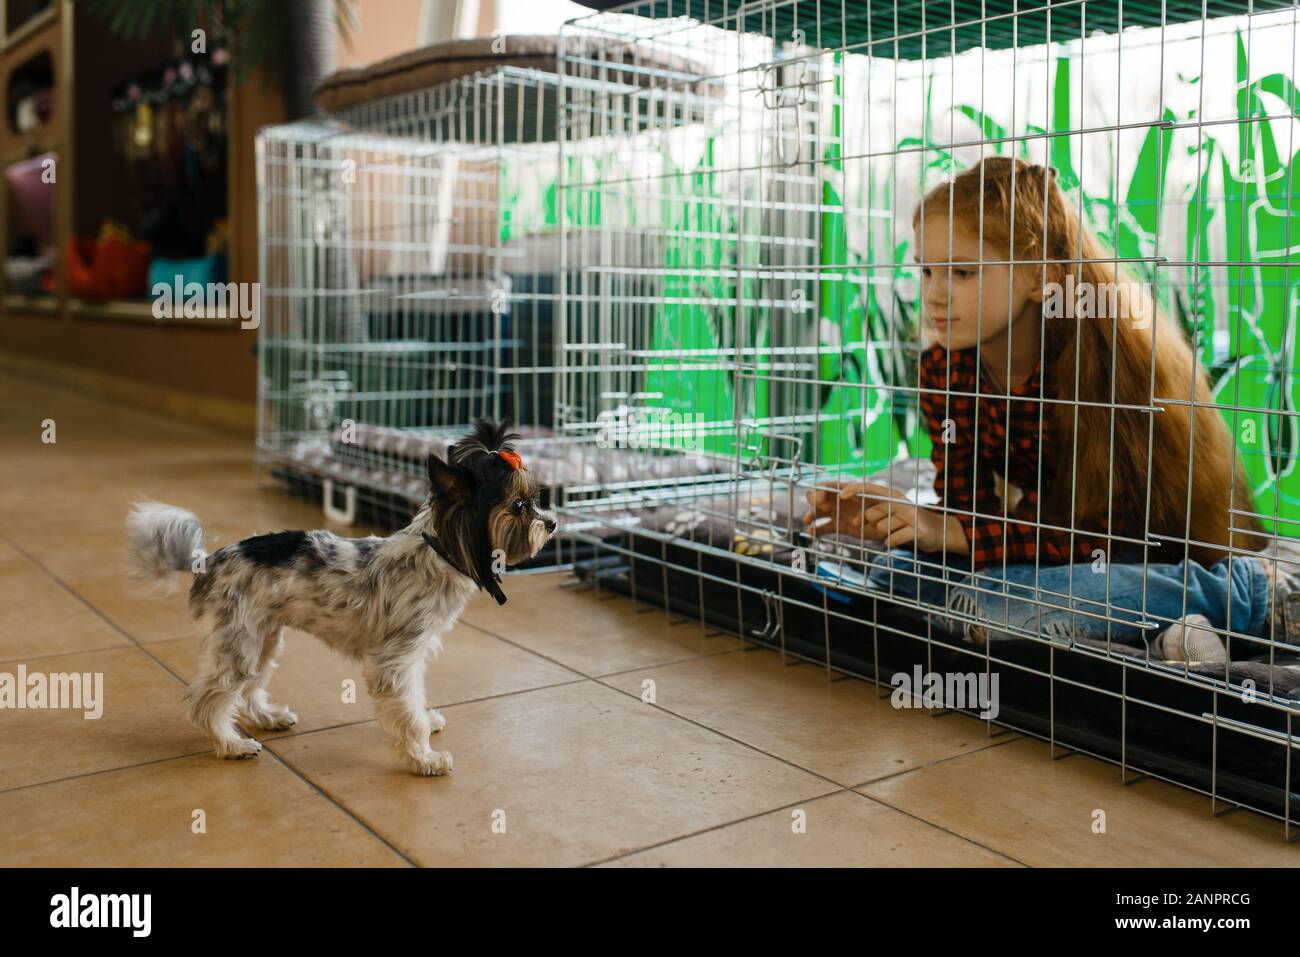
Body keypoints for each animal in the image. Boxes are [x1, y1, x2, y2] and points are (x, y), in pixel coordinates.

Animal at [126, 421, 559, 774]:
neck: (437, 552)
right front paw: (425, 759)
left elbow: (414, 701)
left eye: (536, 499)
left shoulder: (412, 656)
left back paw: (266, 717)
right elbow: (407, 713)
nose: (554, 522)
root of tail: (207, 561)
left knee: (248, 690)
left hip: (262, 638)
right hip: (238, 642)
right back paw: (231, 745)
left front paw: (427, 725)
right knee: (205, 701)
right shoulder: (395, 660)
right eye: (520, 505)